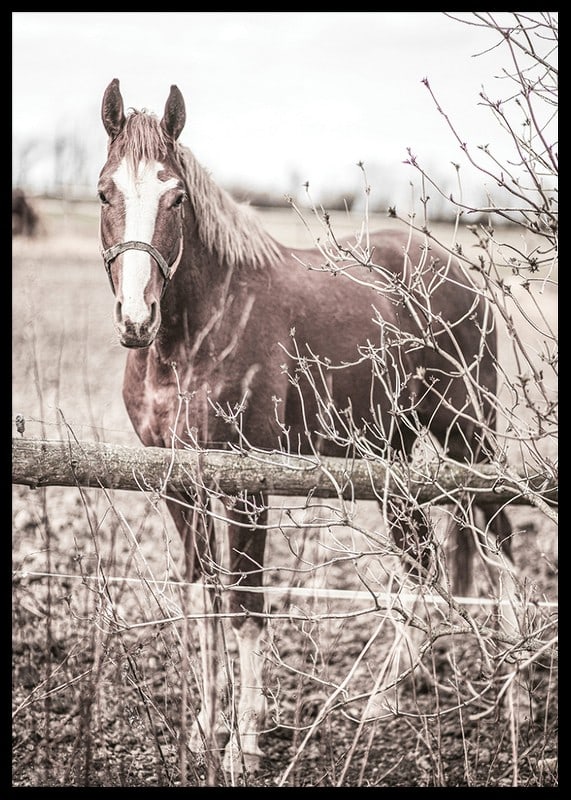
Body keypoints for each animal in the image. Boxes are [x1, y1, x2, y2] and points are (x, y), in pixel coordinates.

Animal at [98, 78, 517, 774]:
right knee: (421, 564)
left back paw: (517, 701)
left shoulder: (246, 486)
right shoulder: (178, 484)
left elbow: (244, 605)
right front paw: (205, 729)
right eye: (105, 190)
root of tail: (457, 272)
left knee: (500, 543)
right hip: (393, 458)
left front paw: (244, 743)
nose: (136, 317)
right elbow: (202, 598)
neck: (196, 333)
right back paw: (382, 705)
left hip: (467, 436)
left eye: (175, 196)